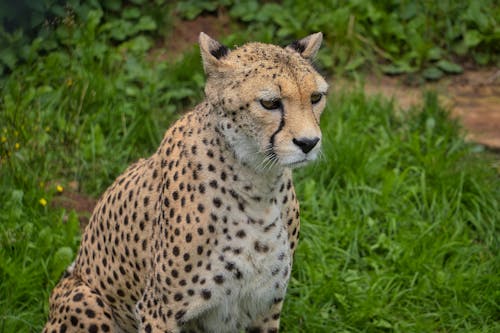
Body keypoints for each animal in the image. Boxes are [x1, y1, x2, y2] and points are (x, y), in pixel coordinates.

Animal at [43, 31, 328, 332]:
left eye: (315, 97)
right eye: (270, 103)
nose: (309, 142)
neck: (258, 182)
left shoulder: (265, 306)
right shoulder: (158, 311)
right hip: (83, 297)